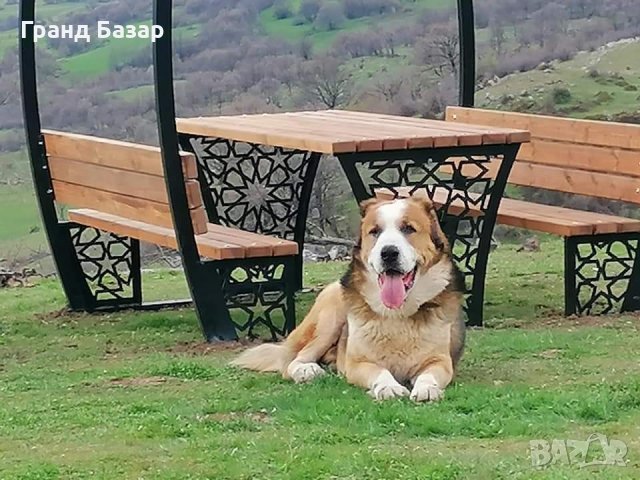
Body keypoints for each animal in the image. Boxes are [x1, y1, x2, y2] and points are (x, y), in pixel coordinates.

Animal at [231, 195, 464, 402]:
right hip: (330, 318)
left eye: (408, 229)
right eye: (375, 232)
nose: (388, 253)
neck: (397, 314)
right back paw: (308, 370)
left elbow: (428, 374)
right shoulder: (357, 364)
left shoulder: (440, 362)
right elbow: (380, 371)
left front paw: (427, 388)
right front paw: (388, 387)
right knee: (293, 361)